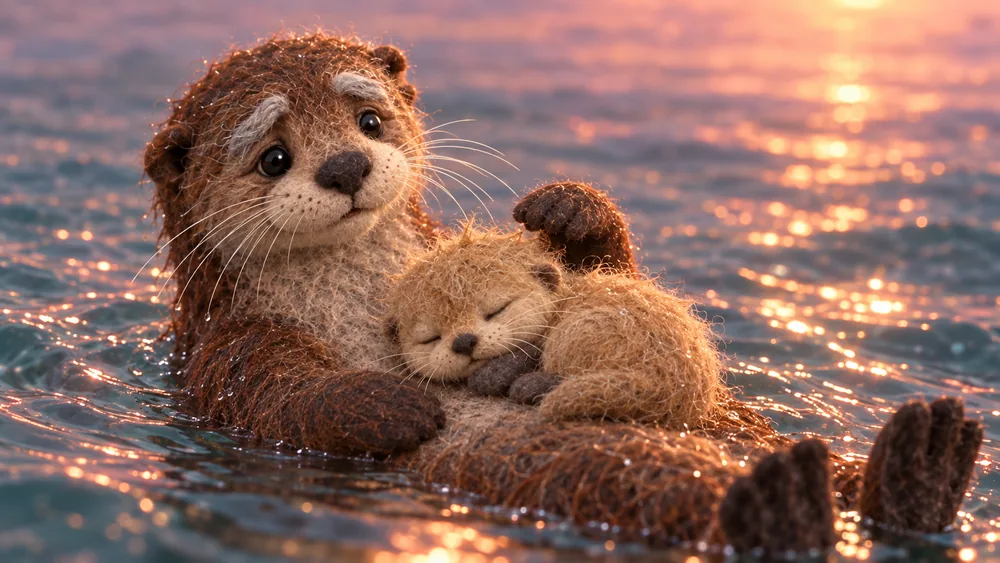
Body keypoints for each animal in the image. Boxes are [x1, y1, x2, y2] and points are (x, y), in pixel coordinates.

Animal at [385, 225, 723, 428]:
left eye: (497, 310)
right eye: (430, 338)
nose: (464, 341)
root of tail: (670, 386)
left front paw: (493, 373)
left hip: (584, 331)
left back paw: (530, 384)